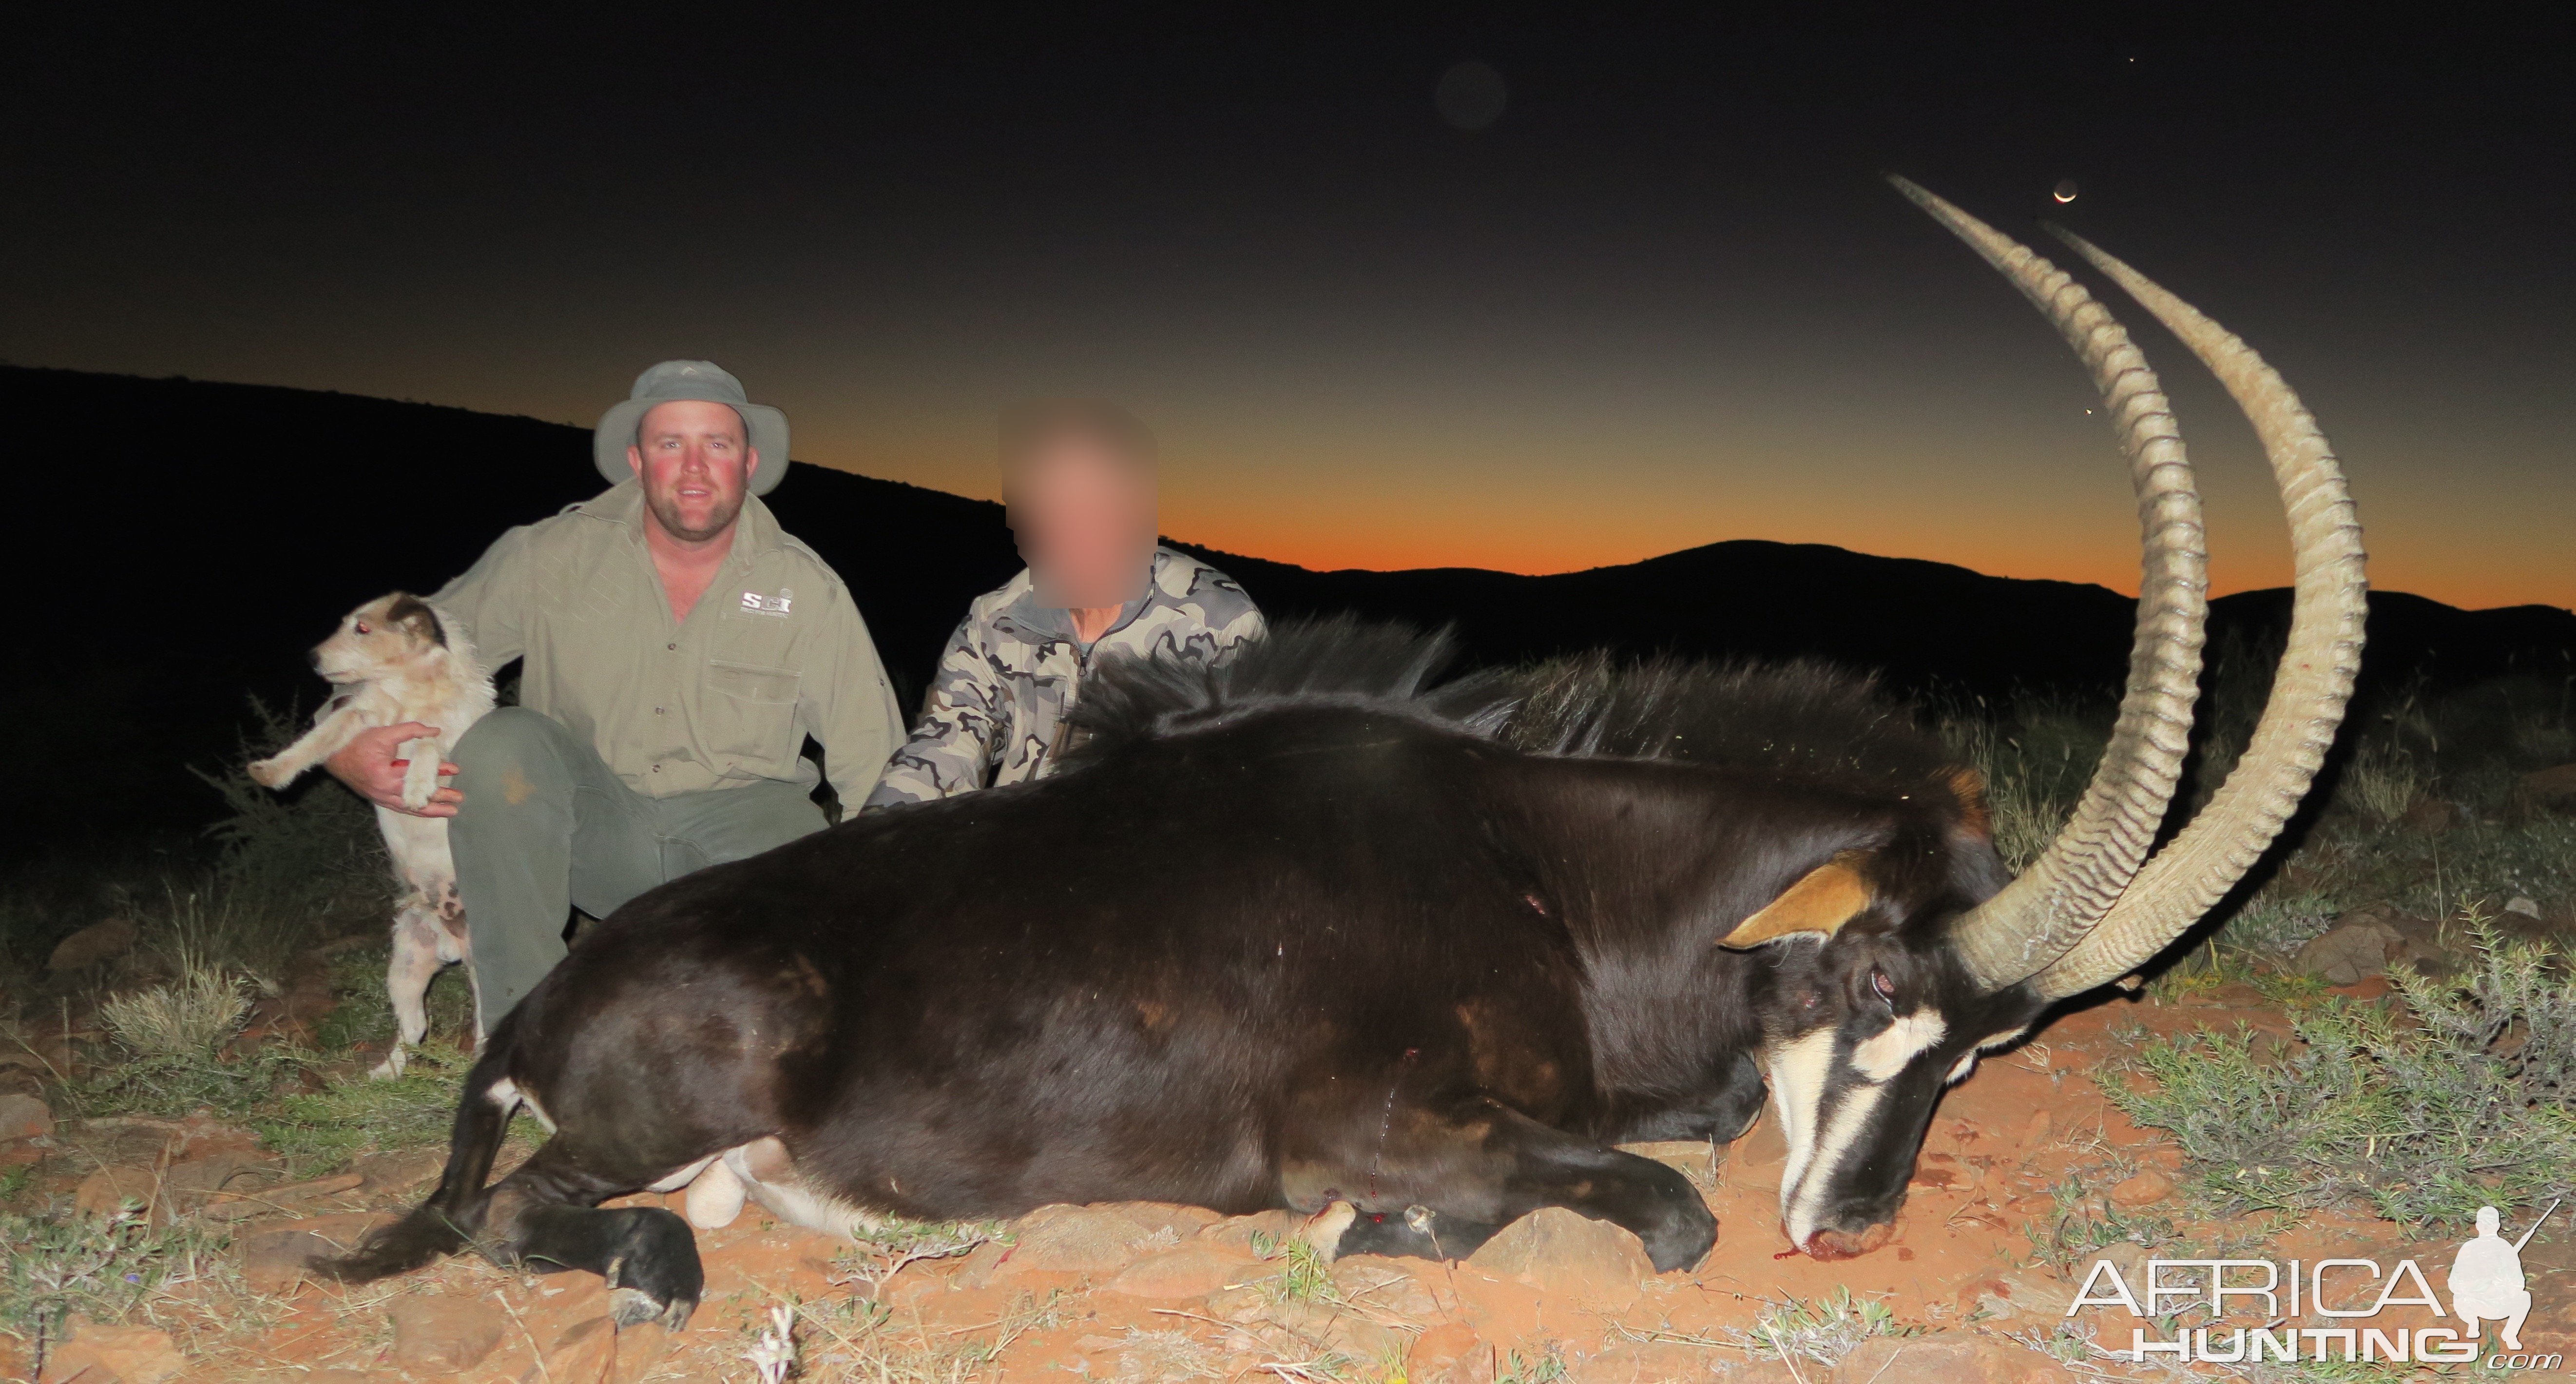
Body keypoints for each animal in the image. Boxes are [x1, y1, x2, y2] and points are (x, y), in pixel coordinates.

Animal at [251, 587, 492, 1072]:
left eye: (363, 628)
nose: (309, 657)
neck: (410, 689)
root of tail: (452, 945)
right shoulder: (362, 718)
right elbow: (315, 740)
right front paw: (273, 770)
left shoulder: (454, 737)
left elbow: (428, 740)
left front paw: (417, 785)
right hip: (404, 969)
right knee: (415, 1029)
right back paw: (385, 1072)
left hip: (485, 965)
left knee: (481, 1021)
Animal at [322, 177, 2370, 1319]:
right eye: (1862, 974)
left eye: (1982, 1051)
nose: (1851, 1239)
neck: (1539, 867)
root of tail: (543, 999)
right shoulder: (1357, 1119)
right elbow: (1652, 1202)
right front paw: (1382, 1243)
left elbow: (1680, 1139)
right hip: (670, 1100)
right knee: (526, 1211)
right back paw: (652, 1271)